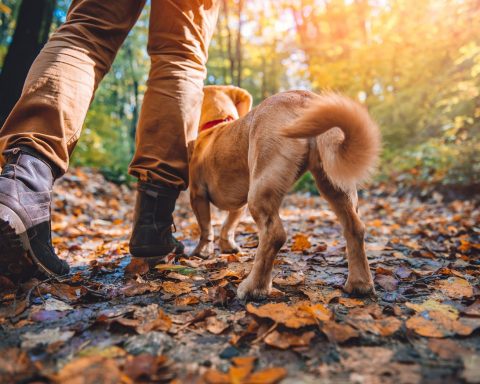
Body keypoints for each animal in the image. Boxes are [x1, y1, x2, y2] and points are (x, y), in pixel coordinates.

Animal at [189, 85, 380, 300]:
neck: (217, 126)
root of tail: (304, 98)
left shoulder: (197, 194)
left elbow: (206, 228)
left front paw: (201, 251)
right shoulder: (239, 206)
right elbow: (228, 225)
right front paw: (227, 246)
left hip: (260, 187)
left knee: (274, 235)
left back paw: (254, 287)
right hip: (335, 185)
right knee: (355, 228)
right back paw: (360, 284)